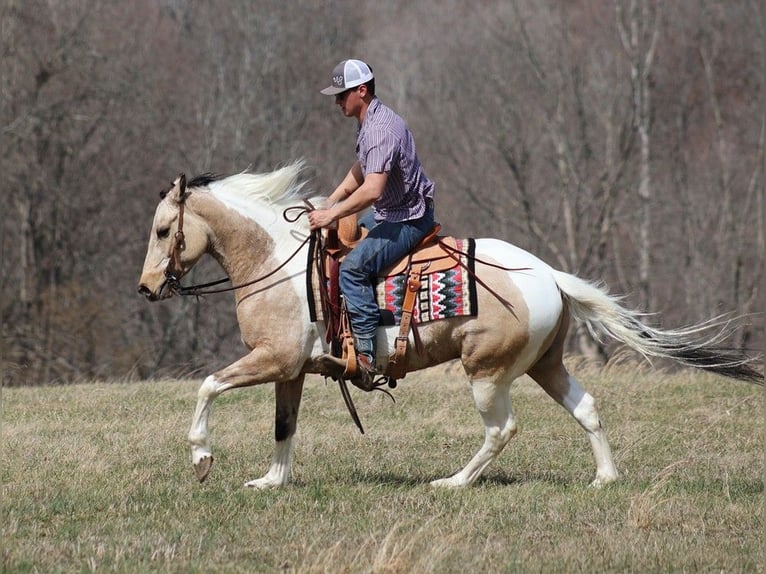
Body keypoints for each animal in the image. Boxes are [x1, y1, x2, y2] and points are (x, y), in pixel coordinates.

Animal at [136, 162, 760, 490]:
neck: (279, 263)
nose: (146, 287)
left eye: (165, 230)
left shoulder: (273, 359)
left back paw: (455, 482)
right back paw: (603, 479)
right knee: (586, 409)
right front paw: (271, 482)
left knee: (501, 429)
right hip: (546, 364)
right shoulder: (291, 369)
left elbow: (208, 386)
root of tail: (551, 275)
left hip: (486, 371)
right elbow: (283, 426)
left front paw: (201, 457)